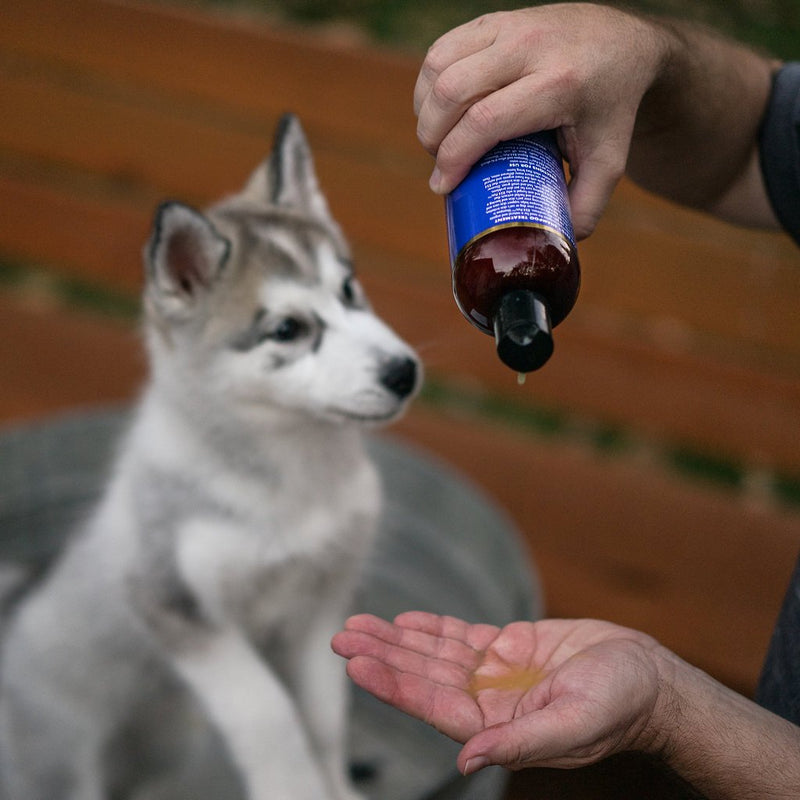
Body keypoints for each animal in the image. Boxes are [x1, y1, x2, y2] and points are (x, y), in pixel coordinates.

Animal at [0, 114, 422, 800]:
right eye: (286, 330)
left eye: (349, 289)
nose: (403, 372)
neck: (294, 483)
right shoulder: (182, 612)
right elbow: (270, 716)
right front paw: (297, 790)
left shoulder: (317, 608)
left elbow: (323, 717)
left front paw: (336, 786)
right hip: (62, 764)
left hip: (163, 744)